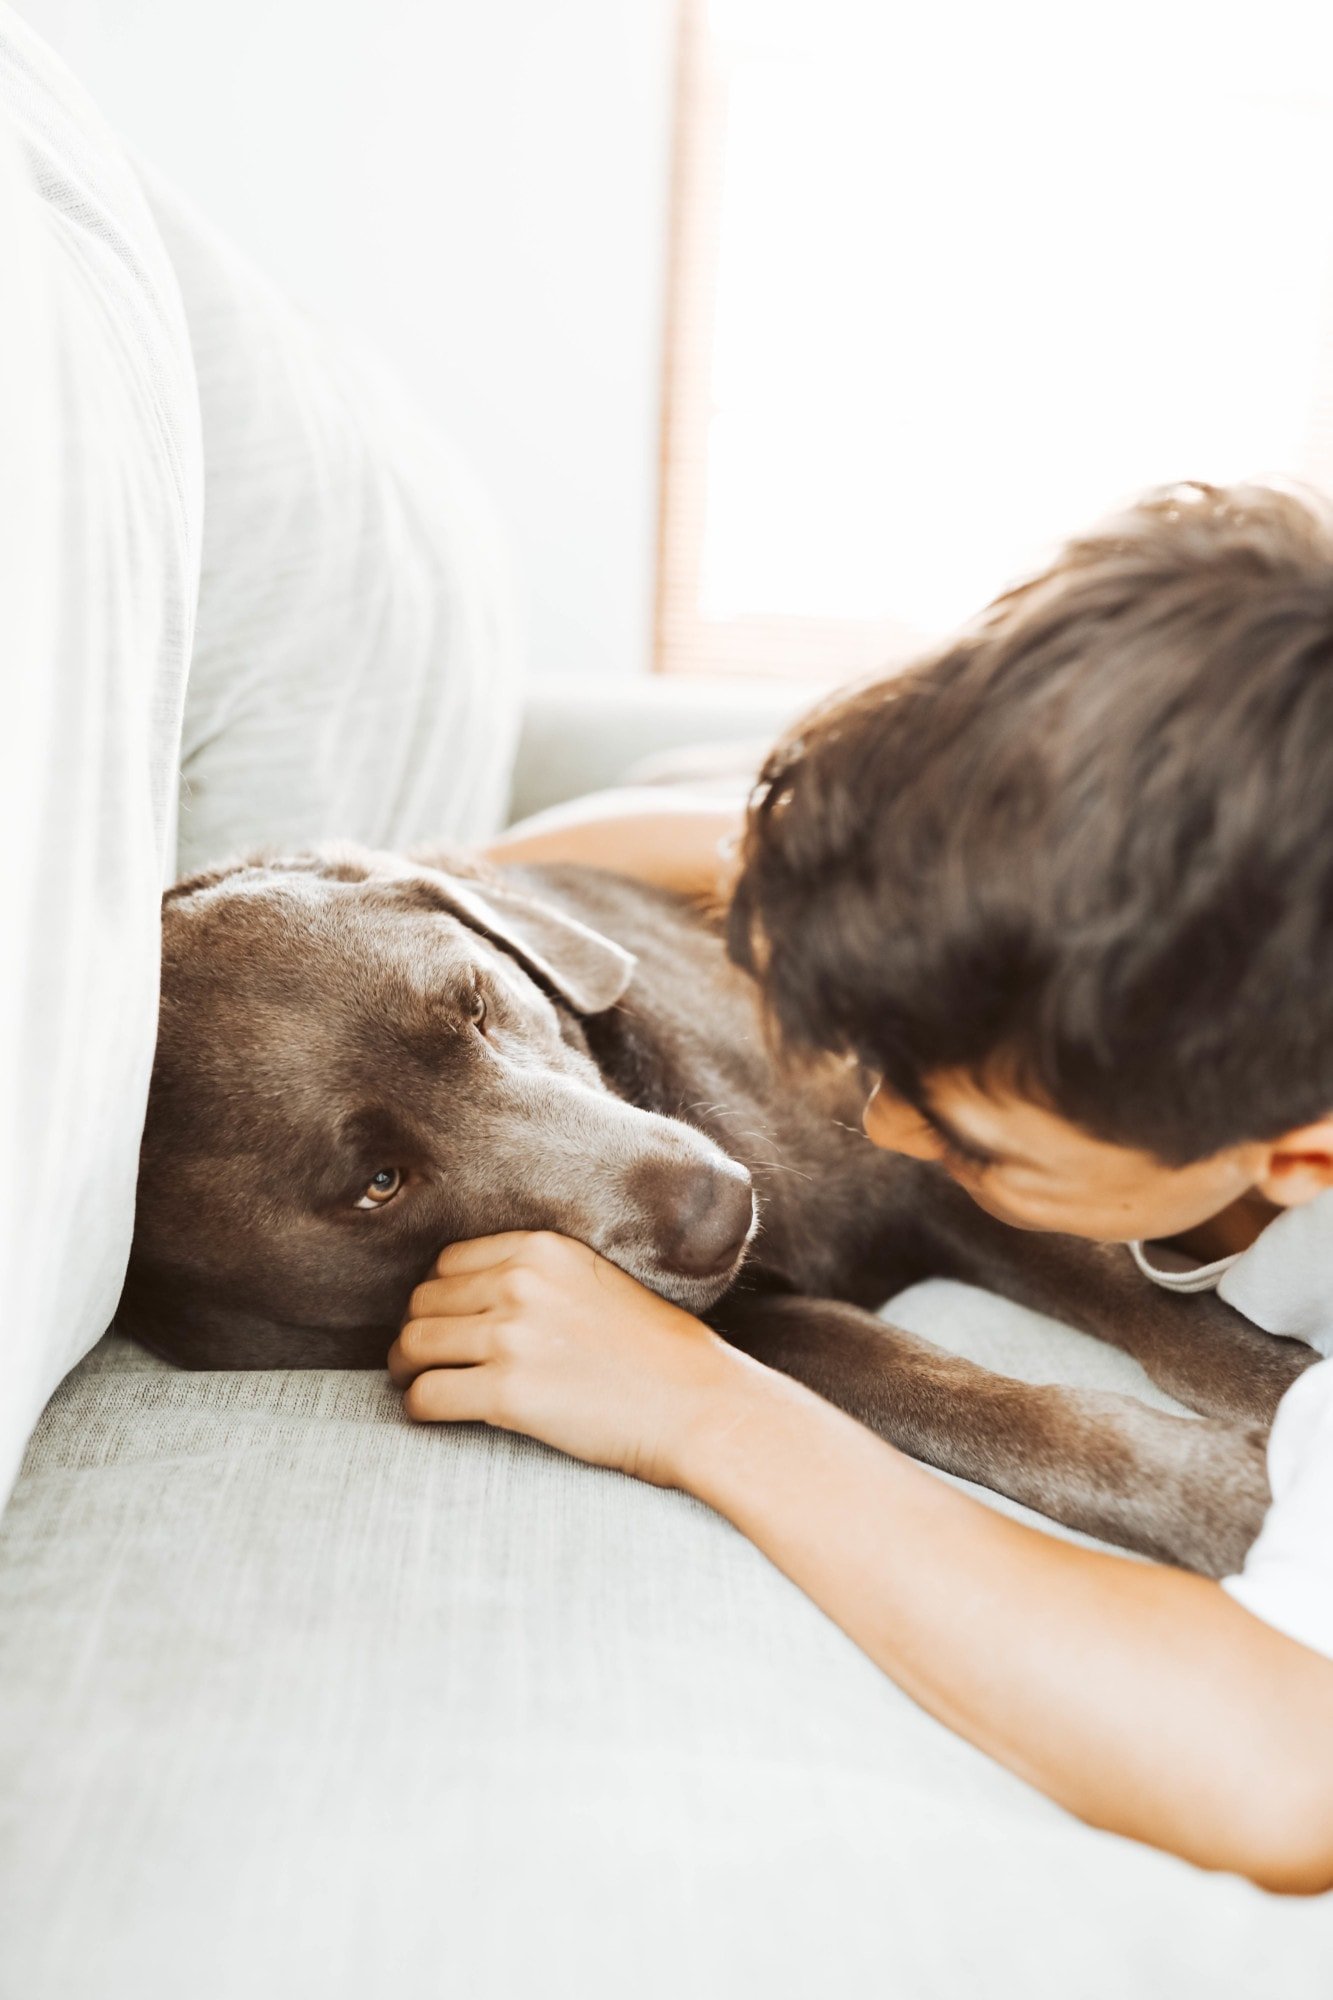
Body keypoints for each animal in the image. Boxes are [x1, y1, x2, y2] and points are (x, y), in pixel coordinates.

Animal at [122, 844, 1304, 1576]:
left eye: (479, 1005)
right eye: (377, 1184)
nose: (714, 1206)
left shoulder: (949, 1174)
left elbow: (1171, 1314)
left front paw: (1281, 1391)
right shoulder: (758, 1317)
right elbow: (943, 1388)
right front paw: (1220, 1494)